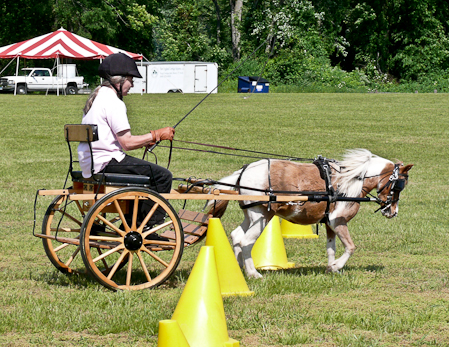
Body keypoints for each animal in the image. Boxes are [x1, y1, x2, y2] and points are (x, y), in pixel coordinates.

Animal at [210, 148, 412, 278]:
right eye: (399, 185)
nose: (393, 211)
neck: (351, 181)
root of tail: (243, 172)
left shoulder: (329, 223)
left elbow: (331, 248)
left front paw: (331, 268)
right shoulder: (338, 221)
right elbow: (351, 247)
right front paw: (337, 266)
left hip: (251, 216)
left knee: (237, 236)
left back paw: (239, 269)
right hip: (262, 216)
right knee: (246, 241)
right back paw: (253, 273)